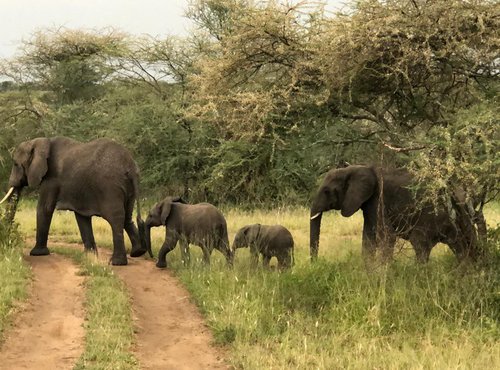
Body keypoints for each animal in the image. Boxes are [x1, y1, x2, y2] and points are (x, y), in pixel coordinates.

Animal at [0, 137, 148, 264]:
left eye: (15, 164)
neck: (41, 142)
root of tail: (130, 167)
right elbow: (81, 217)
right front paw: (89, 257)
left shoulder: (51, 179)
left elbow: (45, 208)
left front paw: (37, 253)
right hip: (128, 188)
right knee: (127, 217)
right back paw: (138, 252)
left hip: (110, 187)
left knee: (115, 219)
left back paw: (117, 262)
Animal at [308, 165, 480, 264]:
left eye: (327, 191)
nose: (315, 263)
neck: (354, 168)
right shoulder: (369, 203)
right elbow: (368, 236)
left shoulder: (378, 200)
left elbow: (386, 235)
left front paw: (383, 272)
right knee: (461, 245)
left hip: (434, 215)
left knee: (420, 242)